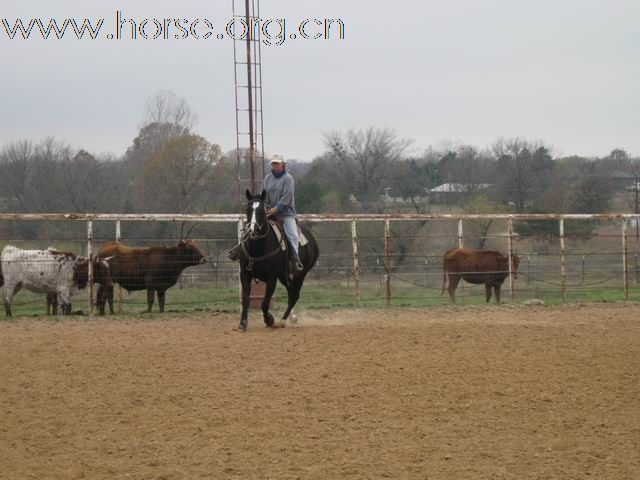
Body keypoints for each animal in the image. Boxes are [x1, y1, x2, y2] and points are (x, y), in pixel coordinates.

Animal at [238, 189, 320, 332]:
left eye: (262, 210)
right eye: (247, 209)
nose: (253, 230)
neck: (258, 248)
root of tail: (313, 241)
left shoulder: (272, 279)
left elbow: (265, 303)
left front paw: (269, 320)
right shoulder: (245, 274)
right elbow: (246, 300)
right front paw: (243, 323)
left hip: (300, 275)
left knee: (295, 296)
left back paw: (282, 321)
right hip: (284, 277)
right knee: (291, 293)